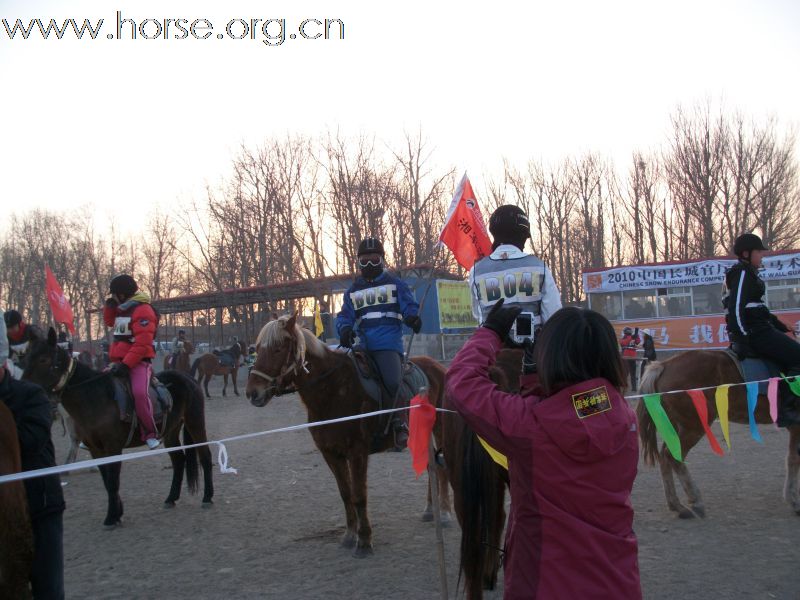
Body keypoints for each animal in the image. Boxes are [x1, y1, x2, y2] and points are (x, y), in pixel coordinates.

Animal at [24, 328, 216, 528]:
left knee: (205, 456)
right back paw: (171, 498)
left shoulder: (113, 447)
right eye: (26, 356)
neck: (96, 398)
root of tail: (187, 378)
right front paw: (117, 512)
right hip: (170, 431)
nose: (26, 385)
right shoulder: (96, 450)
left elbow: (113, 480)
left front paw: (111, 517)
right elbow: (107, 481)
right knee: (178, 460)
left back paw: (207, 497)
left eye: (43, 359)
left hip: (195, 422)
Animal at [247, 316, 454, 556]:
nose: (252, 392)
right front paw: (349, 535)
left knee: (441, 467)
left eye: (278, 349)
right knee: (431, 466)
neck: (333, 390)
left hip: (439, 427)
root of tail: (438, 366)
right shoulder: (330, 453)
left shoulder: (357, 453)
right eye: (257, 349)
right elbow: (345, 493)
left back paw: (445, 513)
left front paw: (364, 541)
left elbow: (358, 495)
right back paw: (430, 509)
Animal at [636, 350, 800, 516]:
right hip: (694, 426)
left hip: (676, 426)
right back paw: (695, 500)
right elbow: (794, 459)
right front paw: (793, 501)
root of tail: (664, 365)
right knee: (672, 457)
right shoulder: (797, 426)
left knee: (665, 457)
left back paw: (677, 506)